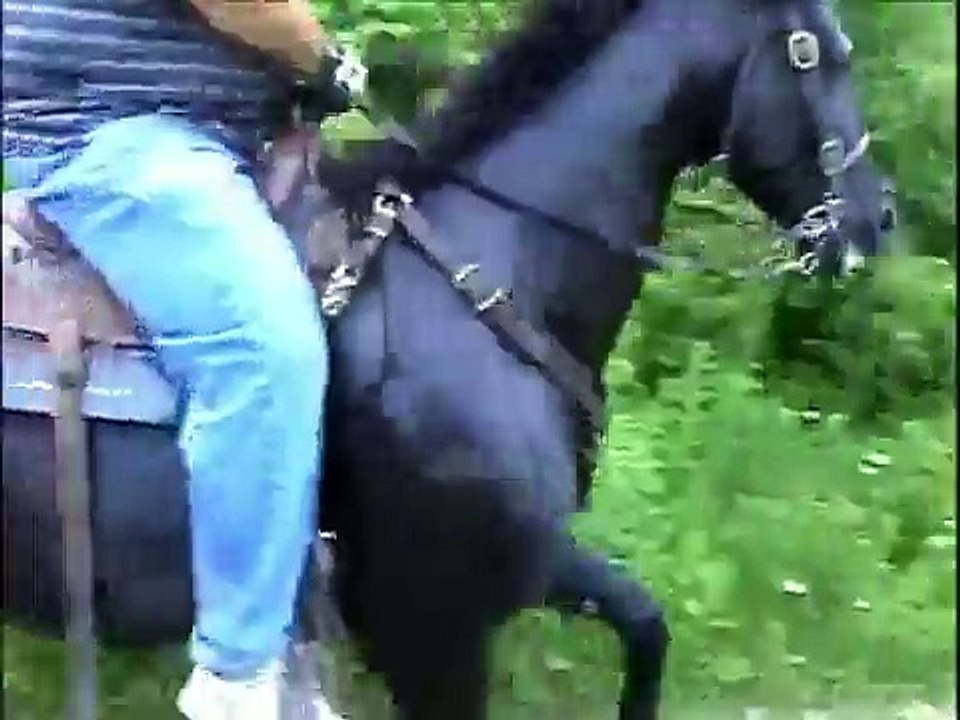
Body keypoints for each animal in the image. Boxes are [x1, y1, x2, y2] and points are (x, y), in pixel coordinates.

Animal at [2, 0, 894, 718]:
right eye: (817, 51)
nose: (877, 218)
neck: (492, 265)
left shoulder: (529, 565)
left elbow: (646, 626)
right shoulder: (434, 629)